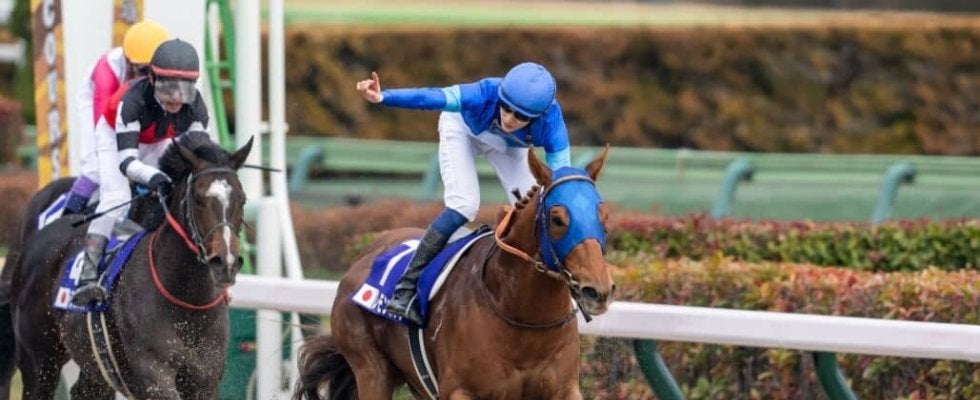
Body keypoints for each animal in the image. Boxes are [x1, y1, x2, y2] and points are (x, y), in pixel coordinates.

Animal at [3, 131, 252, 400]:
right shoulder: (155, 377)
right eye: (197, 199)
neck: (186, 300)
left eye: (242, 199)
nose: (225, 262)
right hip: (39, 362)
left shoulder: (205, 379)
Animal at [294, 147, 615, 400]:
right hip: (370, 368)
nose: (598, 291)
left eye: (603, 214)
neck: (525, 321)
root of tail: (363, 258)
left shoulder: (564, 390)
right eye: (558, 218)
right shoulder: (461, 391)